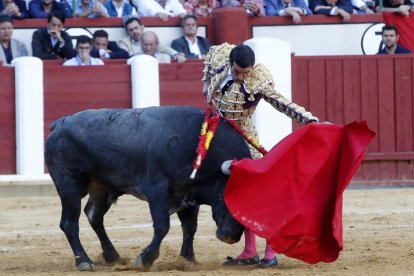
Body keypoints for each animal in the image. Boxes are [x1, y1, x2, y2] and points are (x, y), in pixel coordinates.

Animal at [45, 106, 252, 272]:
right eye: (232, 195)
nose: (231, 236)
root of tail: (61, 124)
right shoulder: (158, 190)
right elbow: (162, 226)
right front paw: (145, 259)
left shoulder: (188, 196)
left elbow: (190, 227)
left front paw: (187, 260)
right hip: (69, 185)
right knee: (69, 223)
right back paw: (84, 262)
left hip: (101, 187)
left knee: (94, 216)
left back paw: (112, 256)